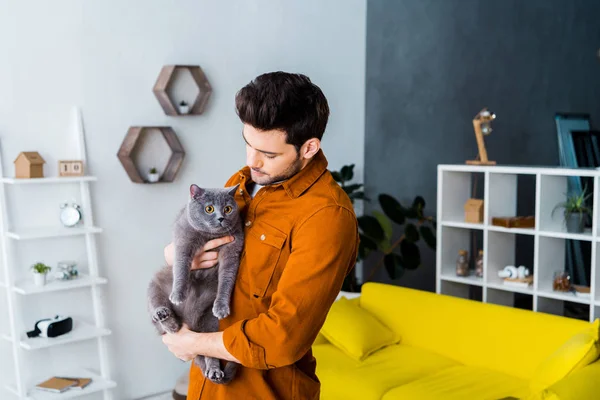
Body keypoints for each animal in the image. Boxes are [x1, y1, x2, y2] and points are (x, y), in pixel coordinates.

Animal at [148, 184, 244, 384]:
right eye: (209, 209)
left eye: (228, 209)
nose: (221, 218)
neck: (209, 237)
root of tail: (188, 319)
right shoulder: (183, 241)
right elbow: (181, 267)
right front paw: (178, 294)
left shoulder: (232, 251)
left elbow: (226, 279)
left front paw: (221, 307)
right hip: (155, 284)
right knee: (168, 325)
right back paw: (162, 315)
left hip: (208, 321)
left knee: (207, 350)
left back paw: (214, 371)